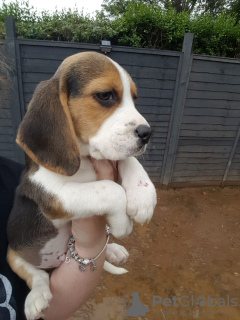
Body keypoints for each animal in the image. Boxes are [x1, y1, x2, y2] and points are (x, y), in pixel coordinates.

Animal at [6, 51, 157, 318]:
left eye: (135, 99)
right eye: (105, 95)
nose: (147, 133)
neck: (86, 159)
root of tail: (57, 259)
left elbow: (127, 159)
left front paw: (143, 195)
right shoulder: (55, 194)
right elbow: (111, 189)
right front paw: (122, 223)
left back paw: (113, 250)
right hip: (12, 253)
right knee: (36, 276)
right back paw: (36, 298)